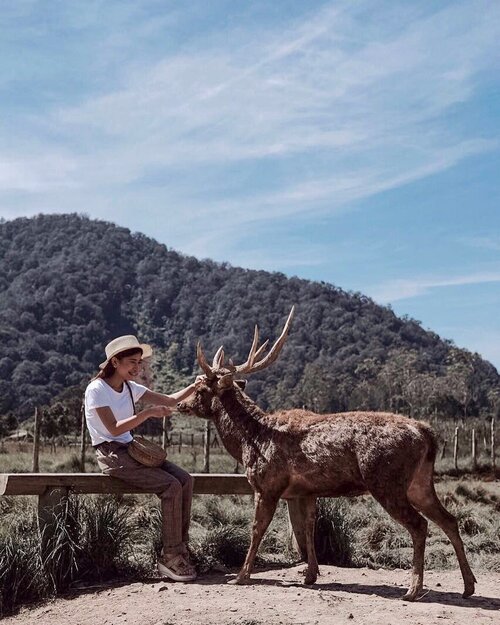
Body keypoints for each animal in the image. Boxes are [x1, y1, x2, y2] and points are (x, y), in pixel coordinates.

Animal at [177, 308, 476, 600]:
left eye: (201, 389)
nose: (180, 404)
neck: (250, 441)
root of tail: (428, 435)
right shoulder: (306, 491)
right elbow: (309, 528)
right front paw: (310, 575)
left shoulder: (267, 484)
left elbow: (257, 529)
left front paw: (241, 576)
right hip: (420, 483)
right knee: (449, 519)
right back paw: (468, 586)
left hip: (386, 481)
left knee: (419, 525)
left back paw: (413, 589)